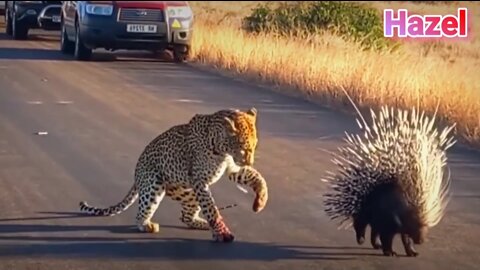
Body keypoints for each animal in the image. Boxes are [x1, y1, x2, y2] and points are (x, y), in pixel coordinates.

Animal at [77, 107, 268, 243]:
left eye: (254, 146)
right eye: (244, 148)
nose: (250, 161)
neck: (221, 148)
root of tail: (136, 172)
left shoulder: (232, 169)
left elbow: (257, 178)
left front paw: (260, 201)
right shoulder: (200, 181)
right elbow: (211, 208)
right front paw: (222, 233)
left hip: (187, 192)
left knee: (186, 216)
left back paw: (202, 223)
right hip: (154, 185)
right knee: (141, 213)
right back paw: (147, 225)